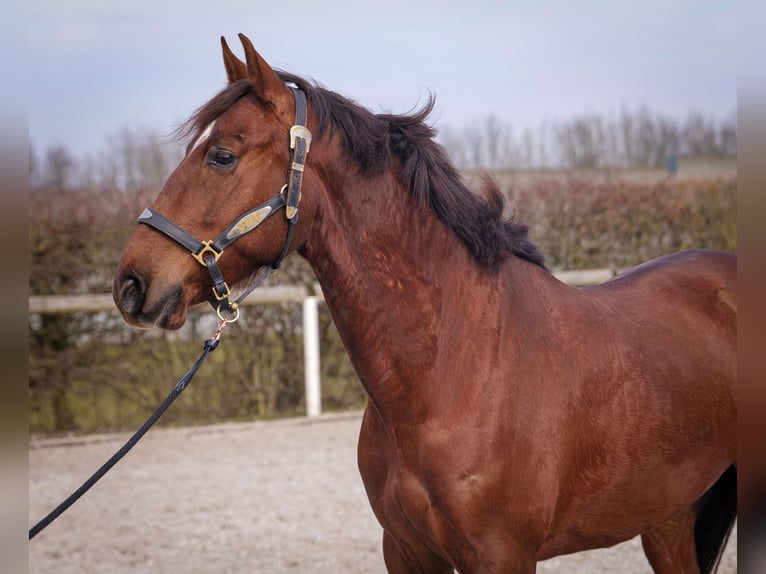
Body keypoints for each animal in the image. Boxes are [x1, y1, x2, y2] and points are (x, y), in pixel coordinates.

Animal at [112, 33, 736, 572]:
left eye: (221, 156)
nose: (131, 284)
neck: (455, 371)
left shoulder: (502, 556)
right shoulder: (407, 550)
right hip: (669, 518)